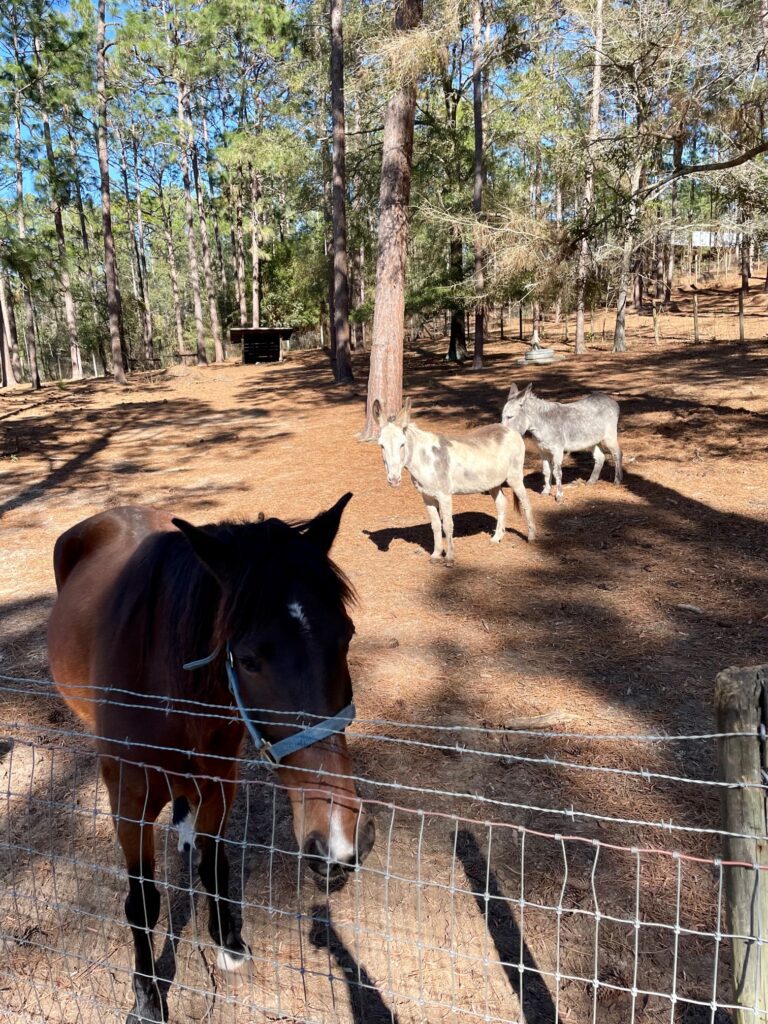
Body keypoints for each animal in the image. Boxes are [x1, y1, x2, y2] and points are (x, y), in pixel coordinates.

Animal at [46, 495, 374, 1024]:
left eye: (345, 635)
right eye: (248, 658)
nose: (340, 842)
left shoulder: (223, 778)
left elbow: (215, 864)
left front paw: (229, 943)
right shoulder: (130, 800)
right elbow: (143, 902)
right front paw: (147, 997)